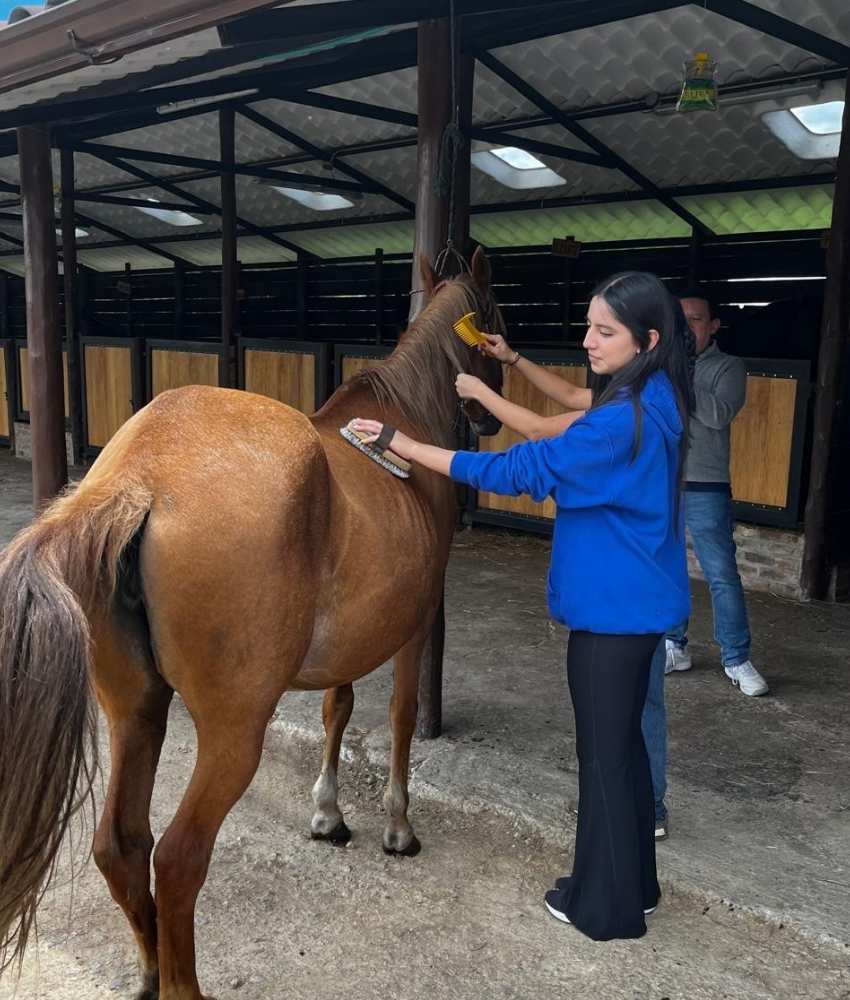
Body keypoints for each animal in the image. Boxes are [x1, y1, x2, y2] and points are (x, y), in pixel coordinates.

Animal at [0, 247, 505, 1000]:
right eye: (498, 315)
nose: (494, 413)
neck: (402, 425)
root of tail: (140, 477)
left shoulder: (347, 643)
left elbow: (336, 708)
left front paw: (328, 814)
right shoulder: (414, 626)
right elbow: (400, 717)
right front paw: (397, 826)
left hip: (135, 711)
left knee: (121, 844)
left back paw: (151, 970)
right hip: (233, 731)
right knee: (178, 857)